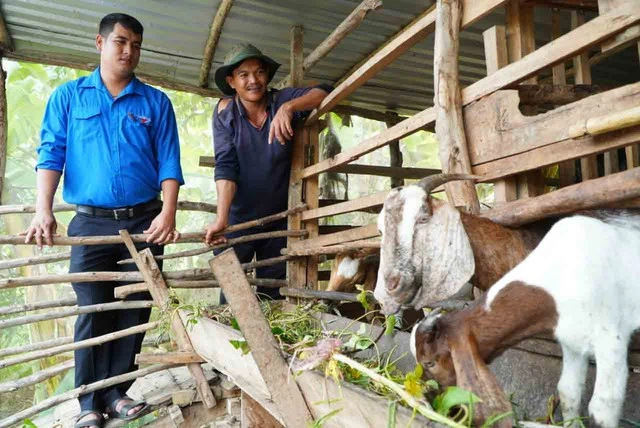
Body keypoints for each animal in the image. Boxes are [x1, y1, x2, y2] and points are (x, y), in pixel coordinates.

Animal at [410, 212, 640, 426]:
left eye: (430, 363)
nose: (430, 395)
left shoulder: (611, 340)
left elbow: (603, 406)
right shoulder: (572, 343)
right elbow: (569, 392)